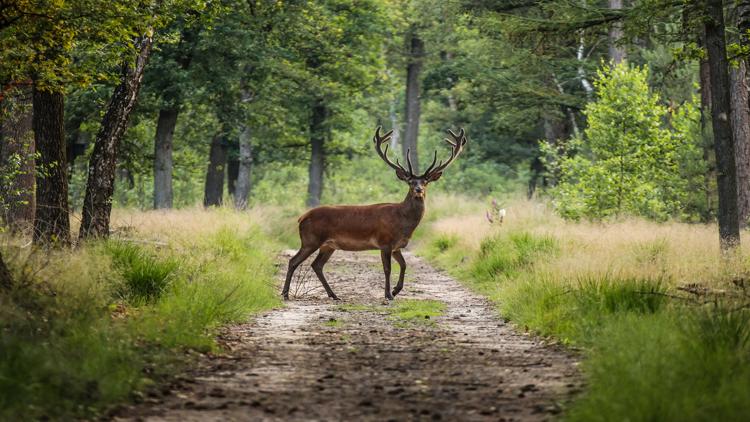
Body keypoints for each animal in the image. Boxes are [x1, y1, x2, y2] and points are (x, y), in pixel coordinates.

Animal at [282, 126, 467, 301]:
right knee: (293, 261)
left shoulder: (397, 246)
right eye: (410, 182)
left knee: (316, 265)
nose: (418, 190)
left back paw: (333, 295)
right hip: (310, 240)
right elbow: (387, 269)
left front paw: (396, 290)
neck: (402, 222)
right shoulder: (385, 242)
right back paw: (285, 293)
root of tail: (302, 217)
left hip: (328, 245)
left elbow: (404, 265)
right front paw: (388, 294)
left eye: (425, 181)